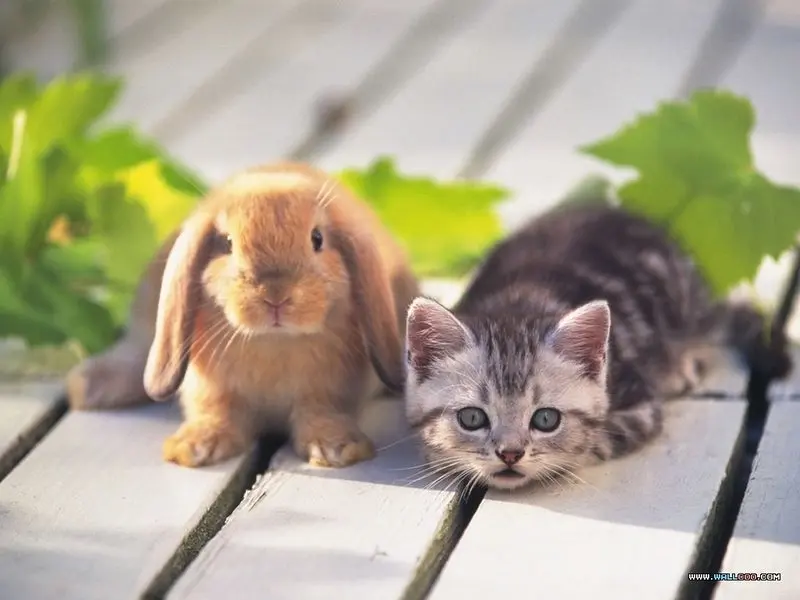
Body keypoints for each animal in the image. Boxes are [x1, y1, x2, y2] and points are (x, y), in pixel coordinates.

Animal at [65, 161, 419, 469]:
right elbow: (215, 412)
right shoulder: (210, 389)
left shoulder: (330, 389)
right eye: (227, 243)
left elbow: (322, 413)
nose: (275, 295)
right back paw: (88, 386)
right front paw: (193, 448)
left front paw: (337, 449)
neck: (273, 342)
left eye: (317, 239)